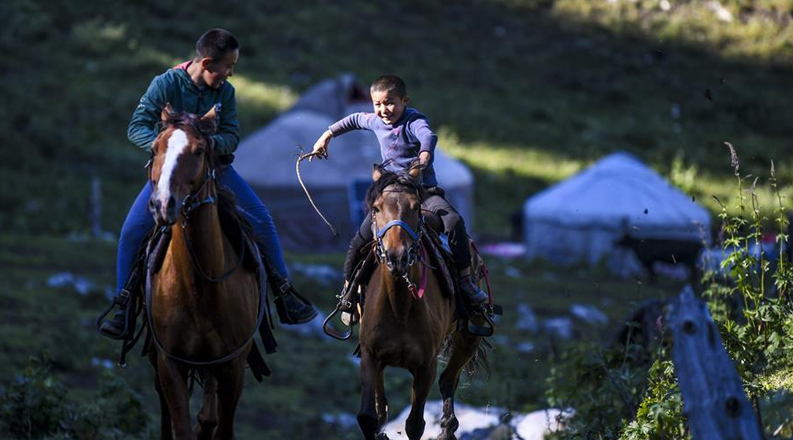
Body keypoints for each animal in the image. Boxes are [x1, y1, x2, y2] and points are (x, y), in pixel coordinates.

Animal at [145, 104, 260, 440]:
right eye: (154, 149)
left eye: (198, 151)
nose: (163, 204)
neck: (199, 288)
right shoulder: (170, 363)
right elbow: (181, 427)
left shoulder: (232, 365)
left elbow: (222, 427)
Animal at [358, 164, 482, 440]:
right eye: (376, 208)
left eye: (415, 207)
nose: (397, 256)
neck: (399, 307)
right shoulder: (370, 356)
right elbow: (368, 418)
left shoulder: (425, 367)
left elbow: (414, 425)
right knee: (381, 406)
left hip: (468, 336)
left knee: (448, 379)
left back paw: (447, 428)